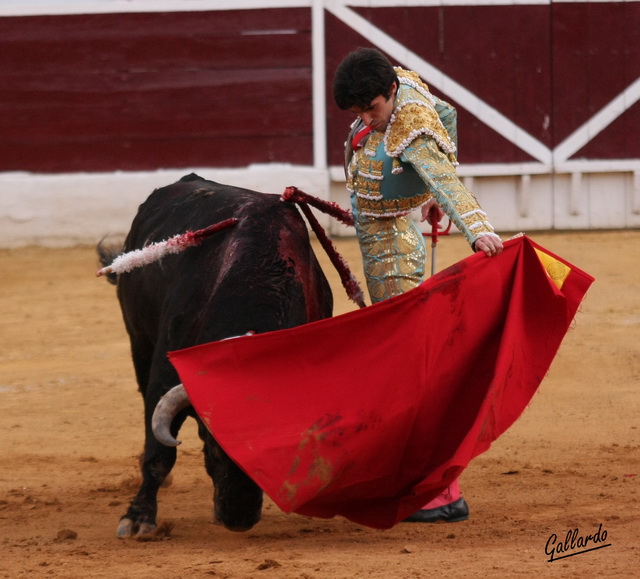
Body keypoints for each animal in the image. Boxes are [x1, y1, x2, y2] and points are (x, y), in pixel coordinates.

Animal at [99, 173, 336, 540]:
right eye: (213, 446)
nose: (238, 519)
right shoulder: (164, 379)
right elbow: (159, 453)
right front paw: (138, 518)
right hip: (137, 338)